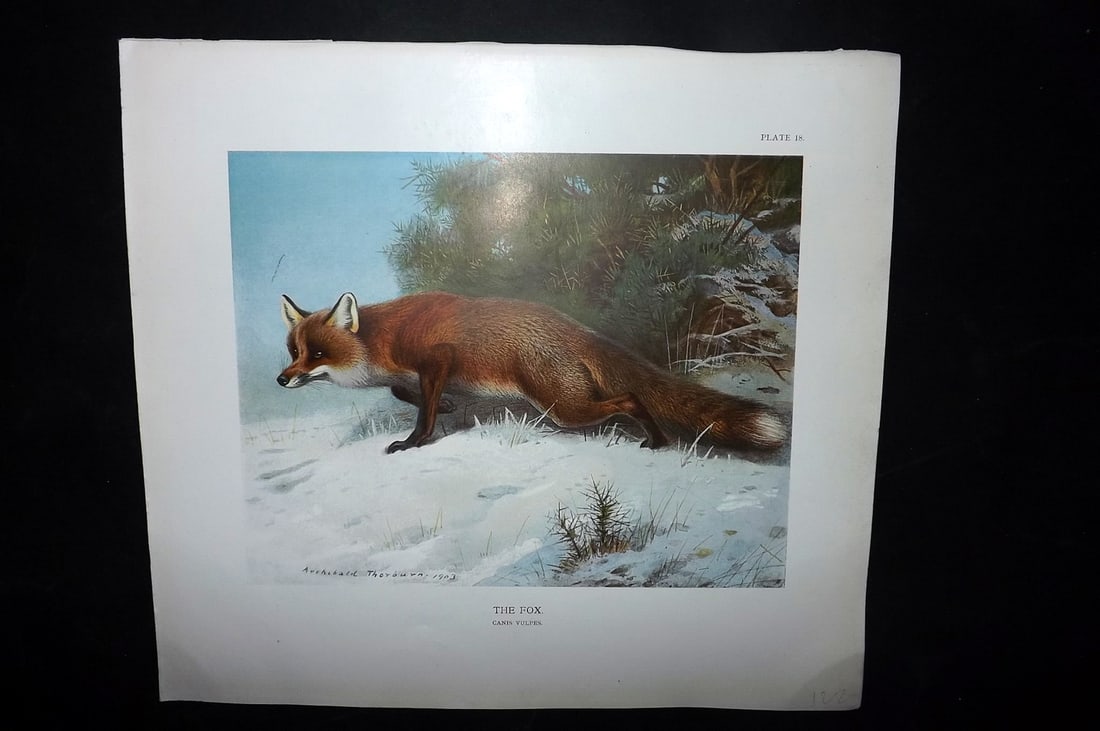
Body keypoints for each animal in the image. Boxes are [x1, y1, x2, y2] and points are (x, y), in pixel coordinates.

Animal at [277, 291, 787, 455]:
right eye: (293, 351)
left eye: (317, 353)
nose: (282, 379)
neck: (384, 339)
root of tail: (573, 327)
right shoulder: (419, 375)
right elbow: (414, 397)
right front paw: (448, 404)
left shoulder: (436, 357)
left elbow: (423, 414)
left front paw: (413, 442)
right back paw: (659, 440)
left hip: (562, 405)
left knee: (629, 399)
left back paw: (656, 439)